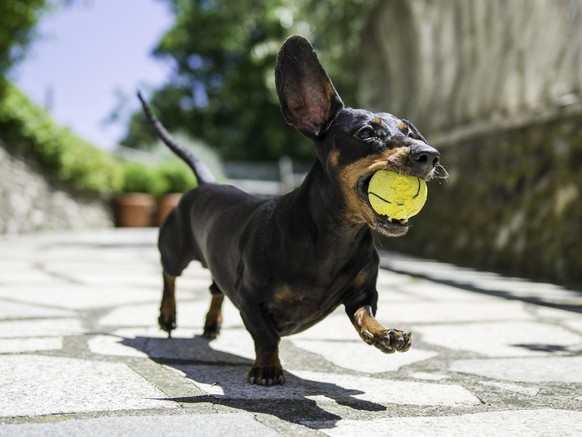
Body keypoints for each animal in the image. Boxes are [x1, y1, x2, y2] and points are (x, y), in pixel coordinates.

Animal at [139, 34, 444, 384]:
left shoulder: (363, 293)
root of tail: (206, 183)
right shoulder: (250, 297)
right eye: (367, 132)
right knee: (169, 276)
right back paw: (167, 315)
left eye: (410, 132)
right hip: (175, 250)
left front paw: (384, 334)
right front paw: (267, 368)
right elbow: (266, 336)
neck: (334, 238)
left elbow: (364, 314)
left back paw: (211, 323)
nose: (430, 155)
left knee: (215, 288)